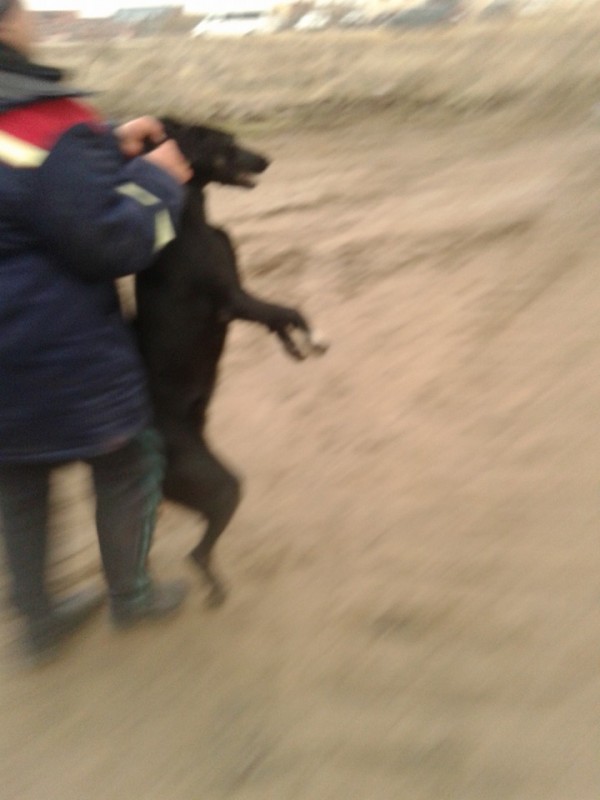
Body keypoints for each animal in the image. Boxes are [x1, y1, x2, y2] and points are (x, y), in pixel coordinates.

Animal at [135, 120, 326, 607]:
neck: (190, 218)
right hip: (220, 487)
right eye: (227, 144)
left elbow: (279, 322)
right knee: (197, 553)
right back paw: (216, 591)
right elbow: (291, 311)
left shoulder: (239, 306)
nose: (267, 161)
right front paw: (315, 340)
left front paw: (297, 349)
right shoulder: (234, 299)